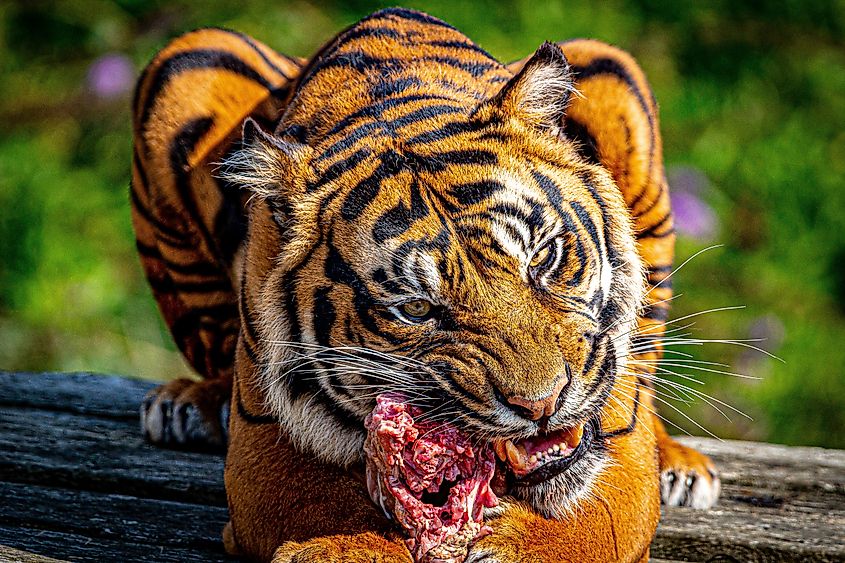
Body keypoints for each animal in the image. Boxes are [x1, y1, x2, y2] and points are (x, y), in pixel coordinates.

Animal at [131, 8, 720, 562]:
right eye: (415, 309)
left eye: (543, 259)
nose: (543, 406)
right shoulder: (263, 445)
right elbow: (323, 506)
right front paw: (347, 549)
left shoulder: (617, 436)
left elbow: (594, 515)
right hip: (188, 62)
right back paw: (189, 404)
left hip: (610, 70)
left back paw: (682, 468)